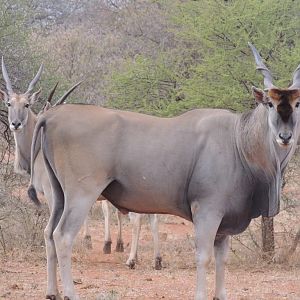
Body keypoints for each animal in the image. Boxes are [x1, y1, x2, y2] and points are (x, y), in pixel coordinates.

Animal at [27, 44, 300, 300]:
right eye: (270, 104)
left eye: (297, 103)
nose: (285, 136)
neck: (238, 141)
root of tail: (51, 117)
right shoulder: (207, 211)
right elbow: (203, 256)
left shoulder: (224, 222)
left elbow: (222, 259)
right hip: (81, 194)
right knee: (62, 235)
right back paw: (70, 293)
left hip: (58, 194)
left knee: (49, 233)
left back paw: (52, 292)